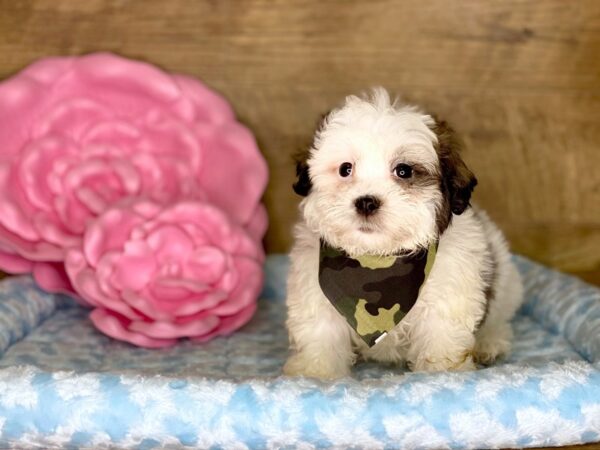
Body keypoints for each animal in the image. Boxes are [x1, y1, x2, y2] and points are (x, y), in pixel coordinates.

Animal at [284, 88, 524, 380]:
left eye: (404, 170)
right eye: (345, 169)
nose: (366, 202)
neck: (377, 259)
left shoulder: (448, 295)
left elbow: (441, 337)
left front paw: (441, 374)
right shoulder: (314, 292)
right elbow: (321, 332)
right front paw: (316, 373)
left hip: (507, 284)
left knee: (499, 318)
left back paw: (489, 342)